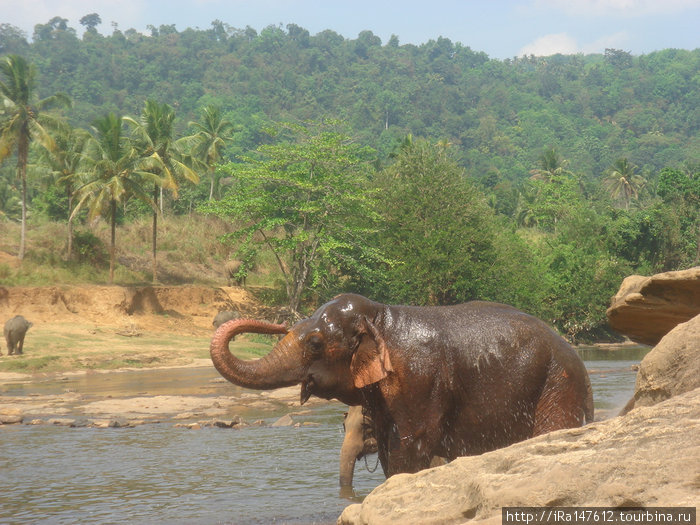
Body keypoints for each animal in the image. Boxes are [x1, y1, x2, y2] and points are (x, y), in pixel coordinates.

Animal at [211, 294, 592, 478]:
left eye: (316, 343)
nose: (277, 322)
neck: (383, 316)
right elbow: (387, 450)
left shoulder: (420, 378)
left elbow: (409, 447)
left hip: (559, 383)